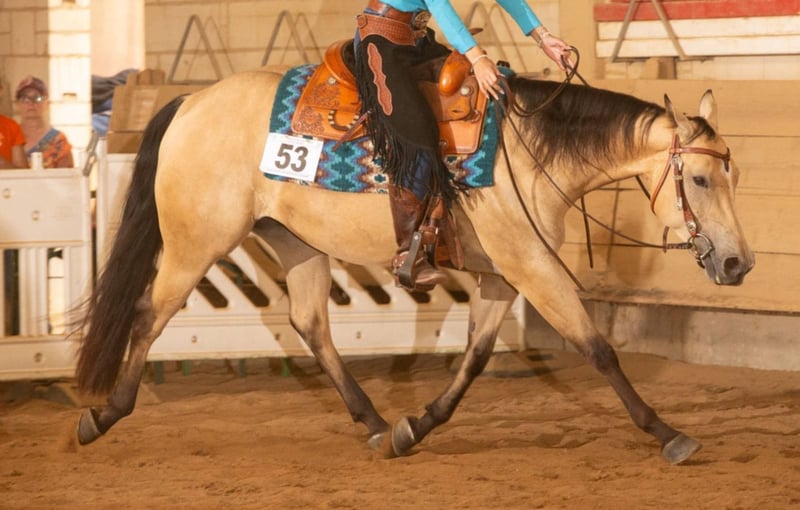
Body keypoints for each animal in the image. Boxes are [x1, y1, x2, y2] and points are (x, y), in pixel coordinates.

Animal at [72, 65, 754, 466]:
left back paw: (375, 423)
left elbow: (475, 358)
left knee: (310, 326)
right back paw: (102, 415)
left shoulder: (500, 276)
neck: (531, 154)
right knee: (148, 314)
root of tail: (190, 102)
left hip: (295, 244)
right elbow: (597, 347)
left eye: (734, 176)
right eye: (698, 179)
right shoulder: (531, 265)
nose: (738, 263)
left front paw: (415, 426)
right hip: (195, 244)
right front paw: (667, 432)